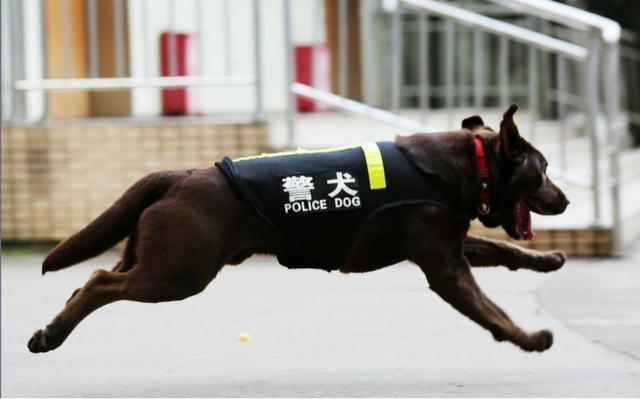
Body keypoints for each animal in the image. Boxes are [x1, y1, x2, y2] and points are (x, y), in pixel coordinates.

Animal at [28, 105, 568, 354]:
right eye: (543, 169)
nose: (564, 200)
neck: (466, 166)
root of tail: (180, 174)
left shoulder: (451, 245)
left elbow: (508, 253)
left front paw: (549, 260)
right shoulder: (445, 266)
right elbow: (491, 310)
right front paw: (530, 338)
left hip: (151, 257)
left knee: (90, 281)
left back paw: (52, 330)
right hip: (178, 273)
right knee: (99, 283)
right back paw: (48, 336)